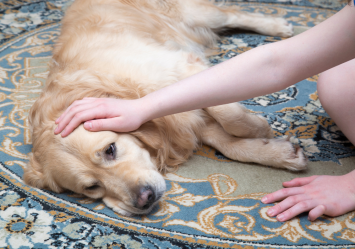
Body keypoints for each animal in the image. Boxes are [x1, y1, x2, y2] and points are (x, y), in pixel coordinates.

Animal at [24, 0, 306, 216]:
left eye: (110, 150)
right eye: (91, 187)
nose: (144, 199)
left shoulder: (181, 66)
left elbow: (229, 114)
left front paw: (259, 128)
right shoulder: (184, 120)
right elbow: (226, 142)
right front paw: (278, 152)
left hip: (193, 14)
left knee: (233, 13)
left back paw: (278, 26)